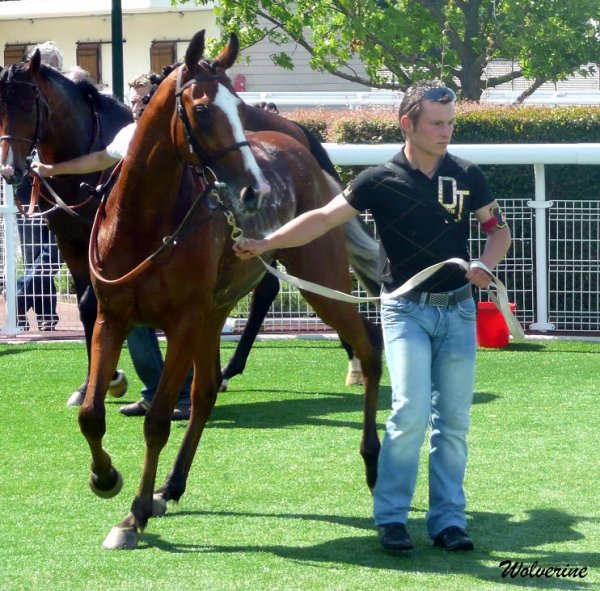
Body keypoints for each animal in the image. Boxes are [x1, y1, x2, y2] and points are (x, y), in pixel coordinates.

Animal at [79, 30, 382, 552]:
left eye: (240, 109)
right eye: (201, 110)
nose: (253, 191)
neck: (142, 223)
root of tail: (302, 147)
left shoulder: (181, 321)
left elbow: (158, 421)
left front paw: (134, 515)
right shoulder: (112, 317)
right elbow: (92, 414)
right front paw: (107, 478)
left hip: (318, 277)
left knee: (367, 342)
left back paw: (372, 458)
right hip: (216, 310)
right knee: (205, 393)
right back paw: (170, 486)